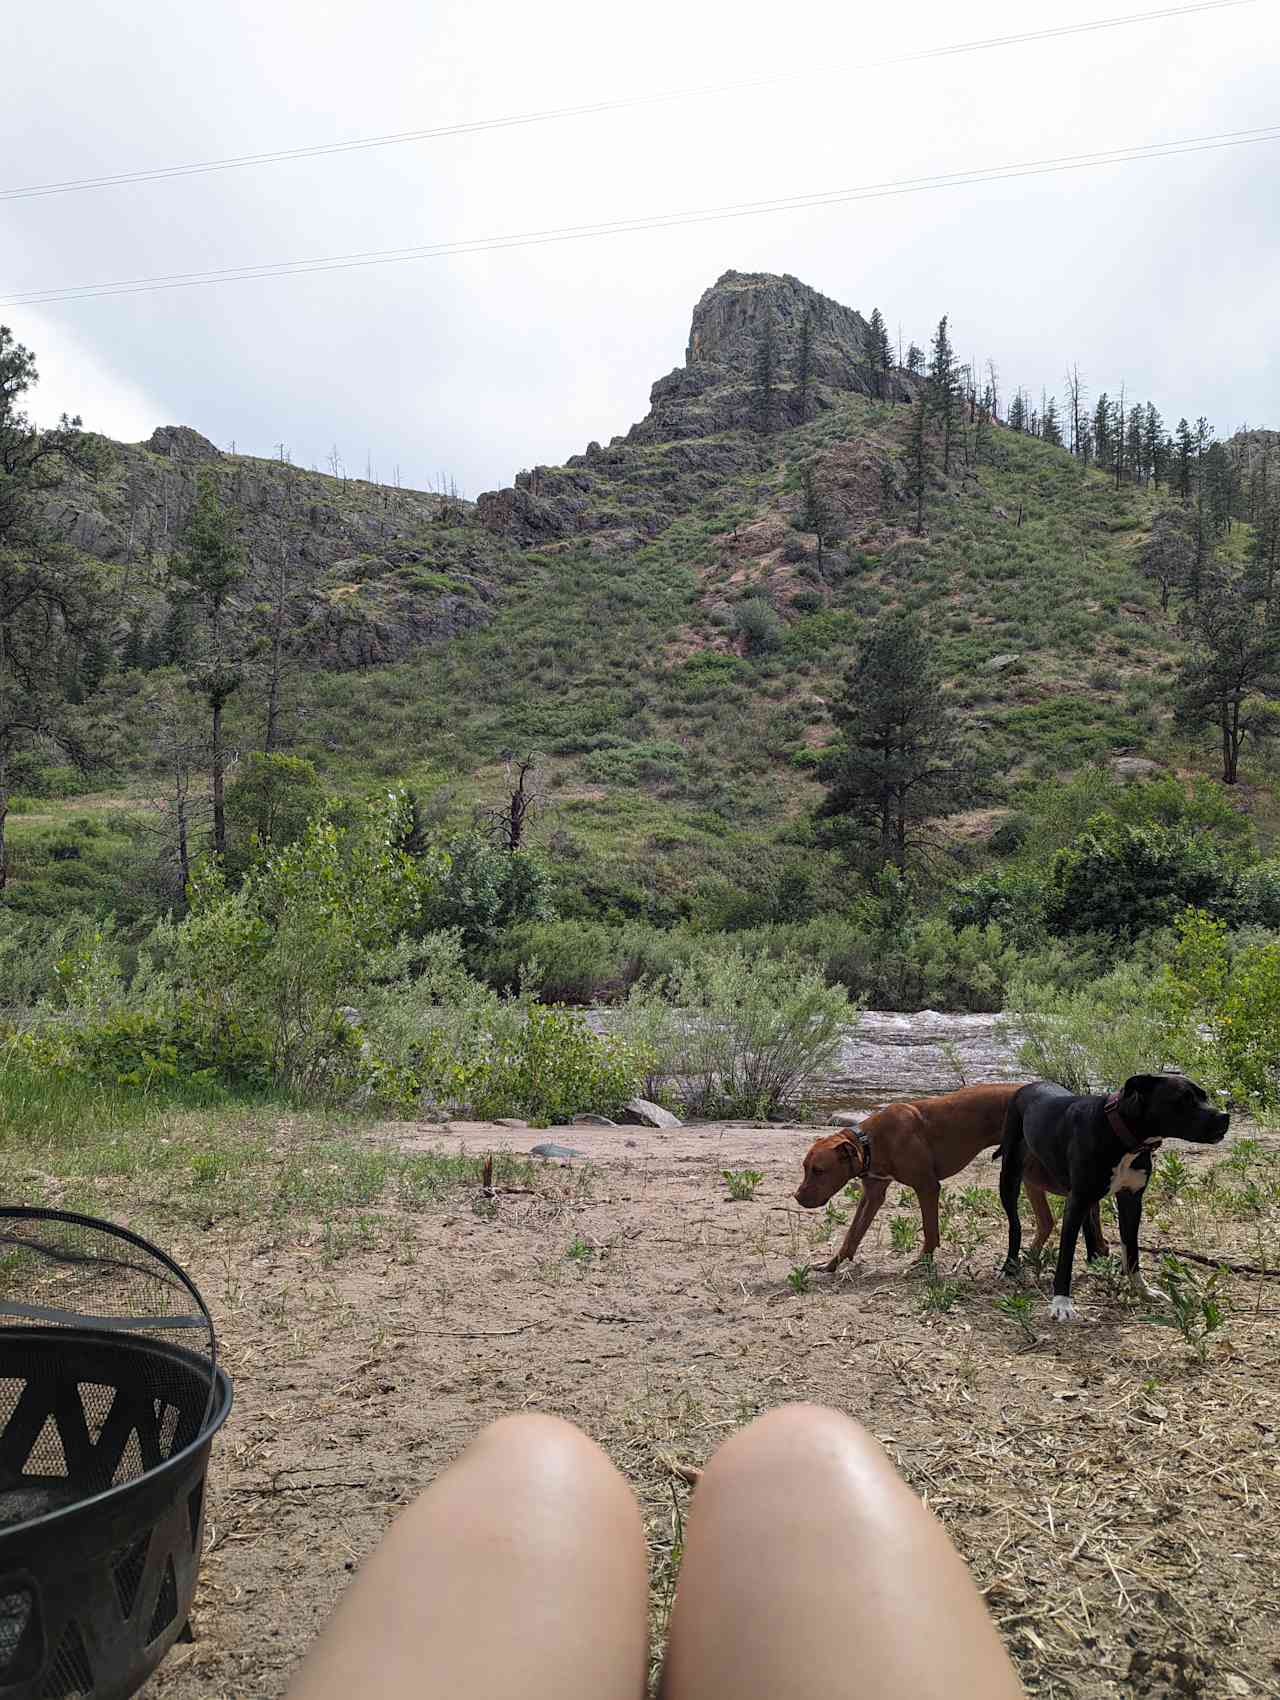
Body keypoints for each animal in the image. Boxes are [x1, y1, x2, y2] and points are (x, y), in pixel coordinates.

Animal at [795, 1081, 1101, 1271]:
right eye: (805, 1168)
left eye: (819, 1170)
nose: (797, 1197)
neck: (869, 1141)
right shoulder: (873, 1195)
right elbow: (852, 1235)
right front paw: (832, 1264)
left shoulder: (927, 1187)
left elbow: (930, 1230)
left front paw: (923, 1262)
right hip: (1028, 1174)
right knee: (1048, 1220)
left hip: (1041, 1172)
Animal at [999, 1074, 1230, 1326]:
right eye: (1184, 1099)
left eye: (1204, 1095)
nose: (1224, 1117)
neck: (1123, 1136)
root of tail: (1029, 1086)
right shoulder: (1077, 1201)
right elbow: (1066, 1256)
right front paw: (1061, 1303)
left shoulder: (1131, 1200)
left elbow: (1132, 1251)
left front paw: (1143, 1290)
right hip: (1010, 1175)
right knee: (1015, 1225)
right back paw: (1009, 1266)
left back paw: (1095, 1261)